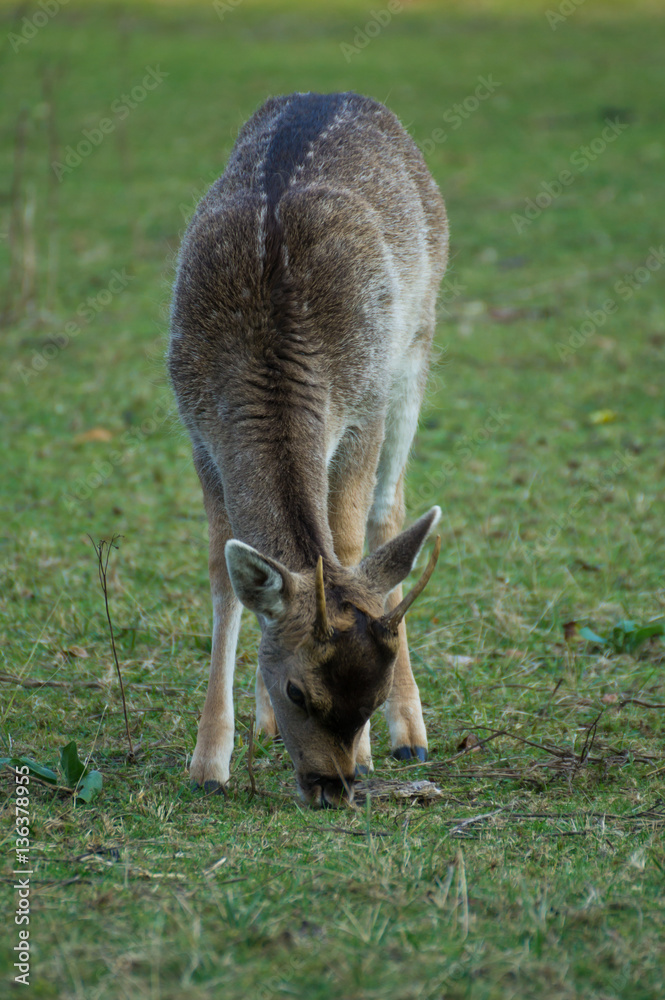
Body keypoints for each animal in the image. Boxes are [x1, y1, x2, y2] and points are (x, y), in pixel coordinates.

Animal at [169, 91, 449, 808]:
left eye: (371, 697)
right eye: (298, 690)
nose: (333, 787)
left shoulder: (363, 407)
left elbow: (348, 547)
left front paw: (377, 745)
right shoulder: (198, 429)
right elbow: (225, 571)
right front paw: (209, 762)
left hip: (417, 346)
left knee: (388, 514)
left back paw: (414, 735)